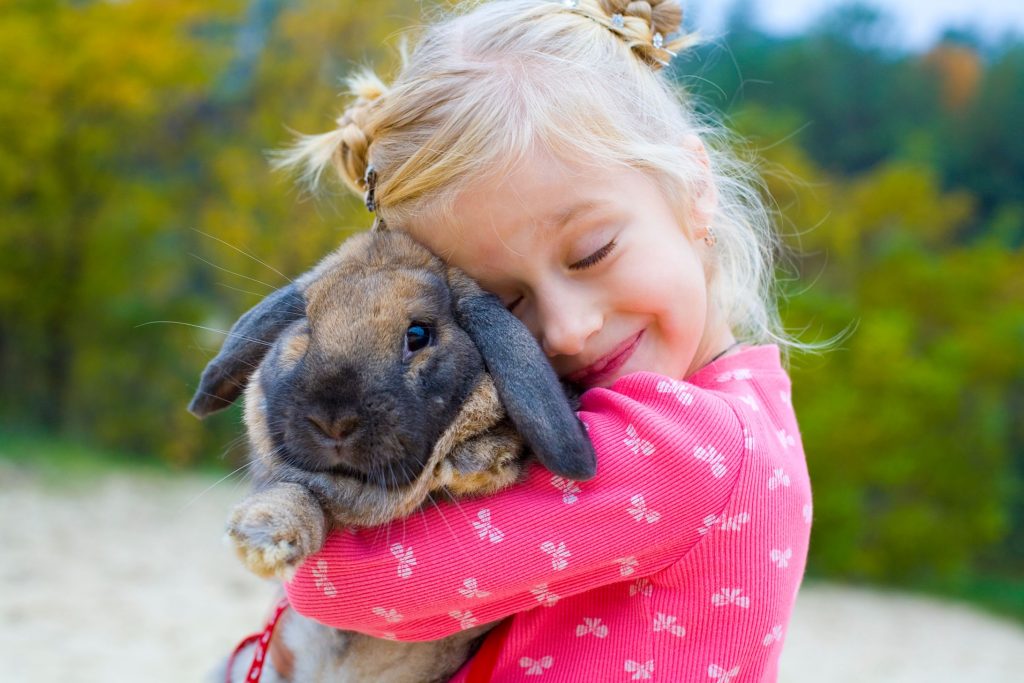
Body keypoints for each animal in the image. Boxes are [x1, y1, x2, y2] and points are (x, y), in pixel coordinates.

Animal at [188, 231, 598, 683]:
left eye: (418, 334)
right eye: (307, 327)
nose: (333, 421)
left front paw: (482, 458)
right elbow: (299, 492)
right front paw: (263, 537)